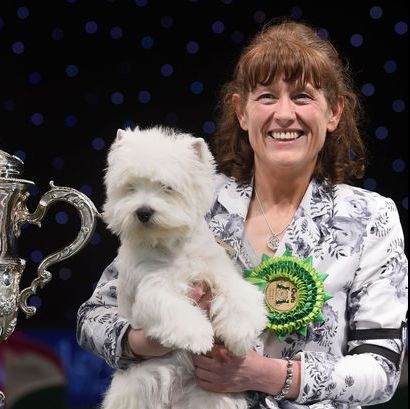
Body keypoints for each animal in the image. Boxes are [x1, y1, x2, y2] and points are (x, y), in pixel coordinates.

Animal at [99, 126, 266, 406]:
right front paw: (198, 336)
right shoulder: (151, 288)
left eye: (167, 187)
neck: (172, 245)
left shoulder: (220, 273)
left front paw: (240, 333)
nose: (143, 212)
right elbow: (173, 307)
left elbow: (239, 296)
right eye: (130, 187)